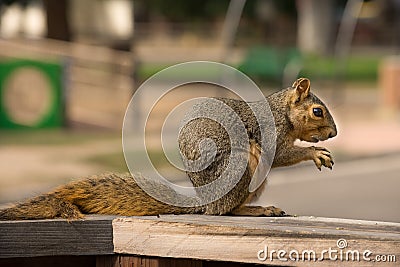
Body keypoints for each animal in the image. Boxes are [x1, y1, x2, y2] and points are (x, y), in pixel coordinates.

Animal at [0, 77, 338, 220]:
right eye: (317, 112)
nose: (334, 133)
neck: (282, 112)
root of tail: (204, 200)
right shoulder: (271, 132)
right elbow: (280, 155)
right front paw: (315, 154)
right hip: (241, 167)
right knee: (224, 210)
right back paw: (256, 209)